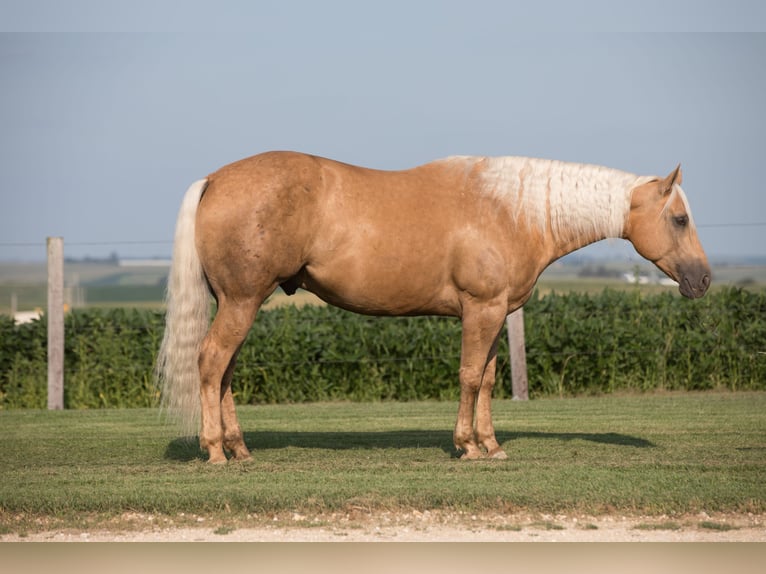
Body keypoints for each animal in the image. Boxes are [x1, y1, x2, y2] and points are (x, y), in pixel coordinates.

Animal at [156, 152, 712, 464]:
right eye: (680, 219)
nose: (704, 280)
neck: (511, 210)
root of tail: (214, 180)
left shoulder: (496, 314)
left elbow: (487, 379)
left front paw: (491, 446)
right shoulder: (481, 311)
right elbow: (468, 376)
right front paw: (467, 446)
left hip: (237, 304)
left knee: (224, 372)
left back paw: (239, 448)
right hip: (242, 302)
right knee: (211, 363)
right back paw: (215, 451)